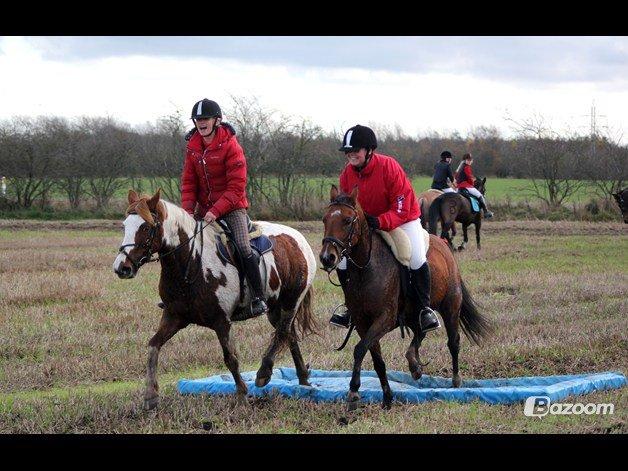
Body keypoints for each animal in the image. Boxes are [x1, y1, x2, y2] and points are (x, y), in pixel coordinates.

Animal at [112, 190, 316, 412]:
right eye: (125, 226)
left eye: (146, 227)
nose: (121, 268)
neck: (191, 263)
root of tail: (298, 238)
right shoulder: (173, 317)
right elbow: (153, 346)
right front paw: (150, 396)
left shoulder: (221, 321)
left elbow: (231, 358)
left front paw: (242, 396)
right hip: (275, 308)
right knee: (289, 334)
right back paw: (303, 380)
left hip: (291, 301)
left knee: (282, 332)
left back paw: (264, 373)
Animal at [318, 186, 490, 412]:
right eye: (324, 219)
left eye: (347, 220)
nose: (326, 257)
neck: (367, 268)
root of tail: (444, 245)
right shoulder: (364, 323)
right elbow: (376, 358)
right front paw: (387, 397)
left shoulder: (385, 318)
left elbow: (359, 349)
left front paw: (354, 391)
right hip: (412, 313)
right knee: (420, 332)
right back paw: (415, 365)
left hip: (450, 307)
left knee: (453, 341)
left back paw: (455, 380)